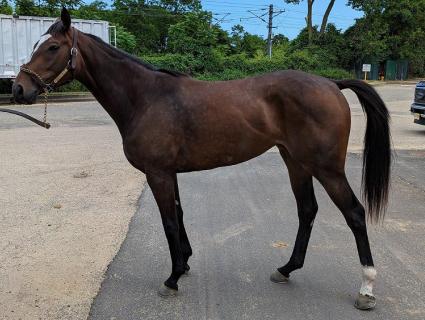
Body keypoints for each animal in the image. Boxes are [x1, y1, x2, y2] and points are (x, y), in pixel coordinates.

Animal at [14, 8, 390, 310]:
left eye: (52, 47)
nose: (19, 89)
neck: (146, 98)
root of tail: (331, 84)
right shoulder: (169, 173)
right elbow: (179, 216)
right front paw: (185, 264)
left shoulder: (158, 173)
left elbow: (168, 221)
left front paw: (172, 279)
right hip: (296, 162)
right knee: (307, 211)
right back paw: (286, 269)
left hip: (327, 168)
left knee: (354, 214)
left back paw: (367, 288)